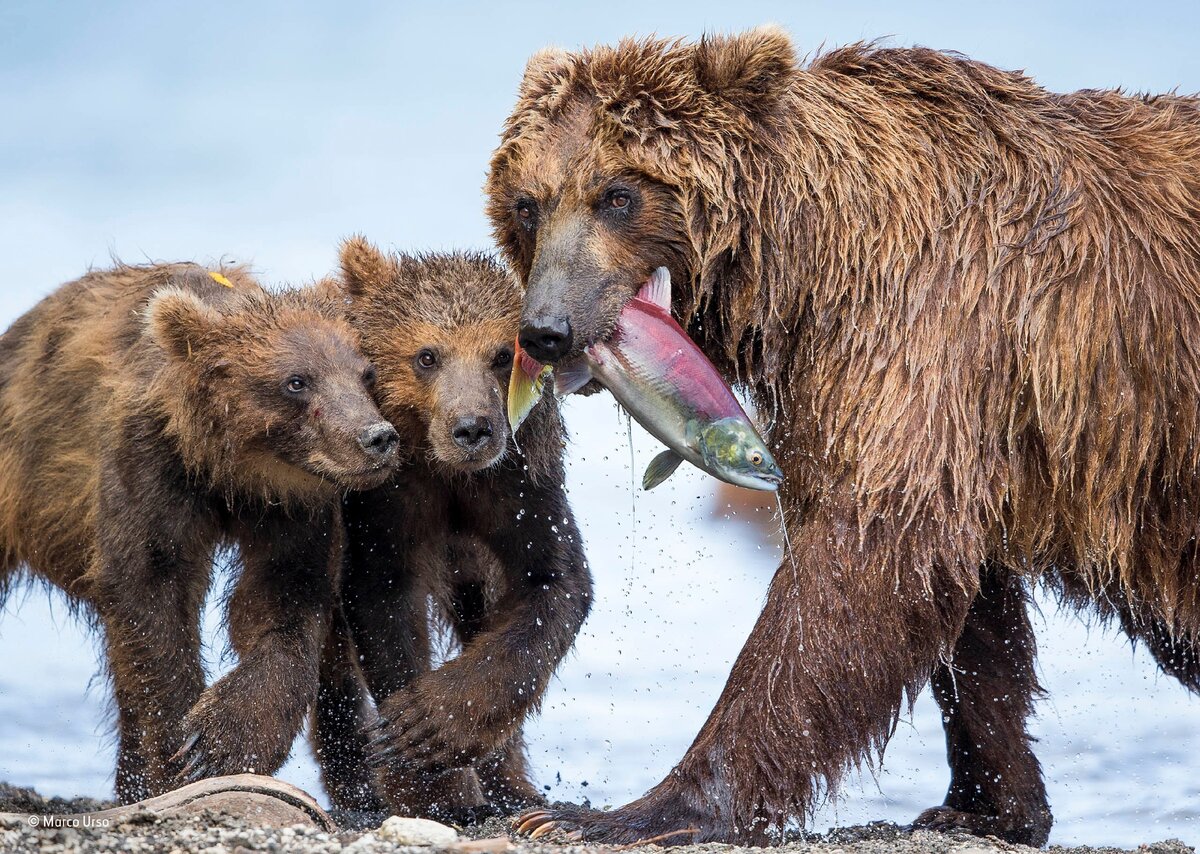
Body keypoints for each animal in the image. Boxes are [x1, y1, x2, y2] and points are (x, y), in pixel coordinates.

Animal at [484, 25, 1200, 849]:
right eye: (528, 202)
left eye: (618, 194)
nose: (547, 329)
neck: (807, 263)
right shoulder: (947, 397)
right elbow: (964, 604)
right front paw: (988, 801)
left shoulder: (922, 323)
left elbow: (862, 558)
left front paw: (629, 810)